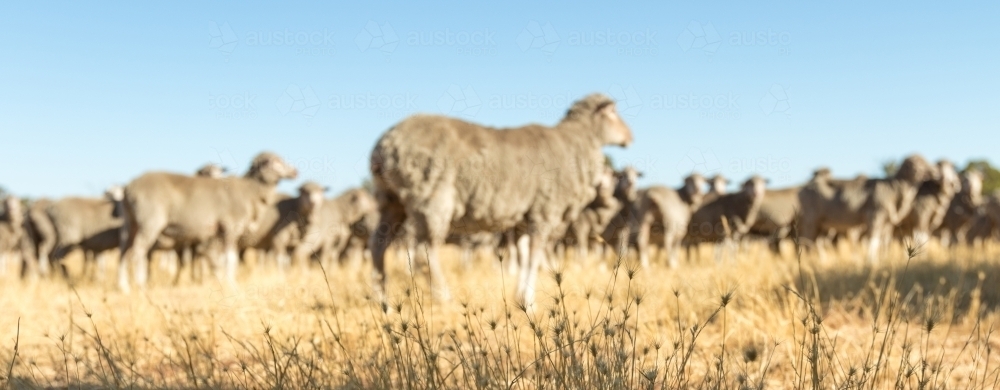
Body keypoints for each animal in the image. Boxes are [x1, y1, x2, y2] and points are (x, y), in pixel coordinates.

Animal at [117, 151, 296, 290]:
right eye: (275, 162)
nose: (295, 171)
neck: (249, 191)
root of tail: (129, 187)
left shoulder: (217, 234)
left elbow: (219, 259)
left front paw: (218, 281)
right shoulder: (231, 227)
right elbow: (230, 259)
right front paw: (231, 284)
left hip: (131, 222)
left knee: (124, 251)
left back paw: (123, 287)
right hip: (150, 221)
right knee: (139, 251)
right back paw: (140, 285)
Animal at [368, 94, 632, 308]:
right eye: (613, 112)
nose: (630, 136)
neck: (576, 143)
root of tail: (384, 145)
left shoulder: (525, 219)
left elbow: (525, 257)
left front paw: (520, 300)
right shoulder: (545, 211)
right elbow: (534, 257)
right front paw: (529, 302)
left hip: (390, 200)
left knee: (378, 245)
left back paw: (383, 301)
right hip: (431, 199)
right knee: (423, 254)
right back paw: (444, 299)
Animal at [792, 155, 932, 262]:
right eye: (917, 164)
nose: (932, 172)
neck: (894, 188)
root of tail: (803, 188)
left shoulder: (886, 222)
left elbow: (883, 242)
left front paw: (882, 259)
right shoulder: (874, 216)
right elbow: (873, 241)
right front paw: (871, 261)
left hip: (822, 224)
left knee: (818, 242)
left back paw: (822, 260)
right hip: (811, 219)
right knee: (807, 240)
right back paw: (808, 261)